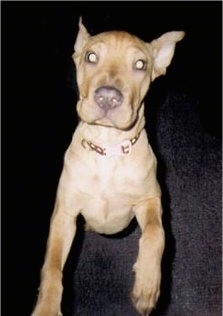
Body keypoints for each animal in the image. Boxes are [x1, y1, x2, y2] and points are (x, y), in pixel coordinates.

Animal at [31, 17, 185, 316]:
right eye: (91, 57)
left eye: (141, 64)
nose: (107, 97)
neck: (108, 149)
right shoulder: (65, 215)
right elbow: (52, 266)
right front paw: (47, 307)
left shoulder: (149, 200)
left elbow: (156, 233)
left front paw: (147, 285)